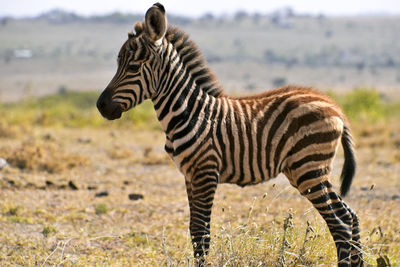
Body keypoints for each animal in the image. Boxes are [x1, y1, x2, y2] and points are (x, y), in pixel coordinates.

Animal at [96, 3, 362, 266]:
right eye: (118, 63)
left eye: (133, 67)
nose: (100, 106)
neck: (188, 111)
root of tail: (334, 106)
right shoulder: (190, 175)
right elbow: (194, 230)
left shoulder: (205, 172)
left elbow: (201, 232)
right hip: (306, 171)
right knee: (350, 215)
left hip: (309, 168)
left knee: (340, 223)